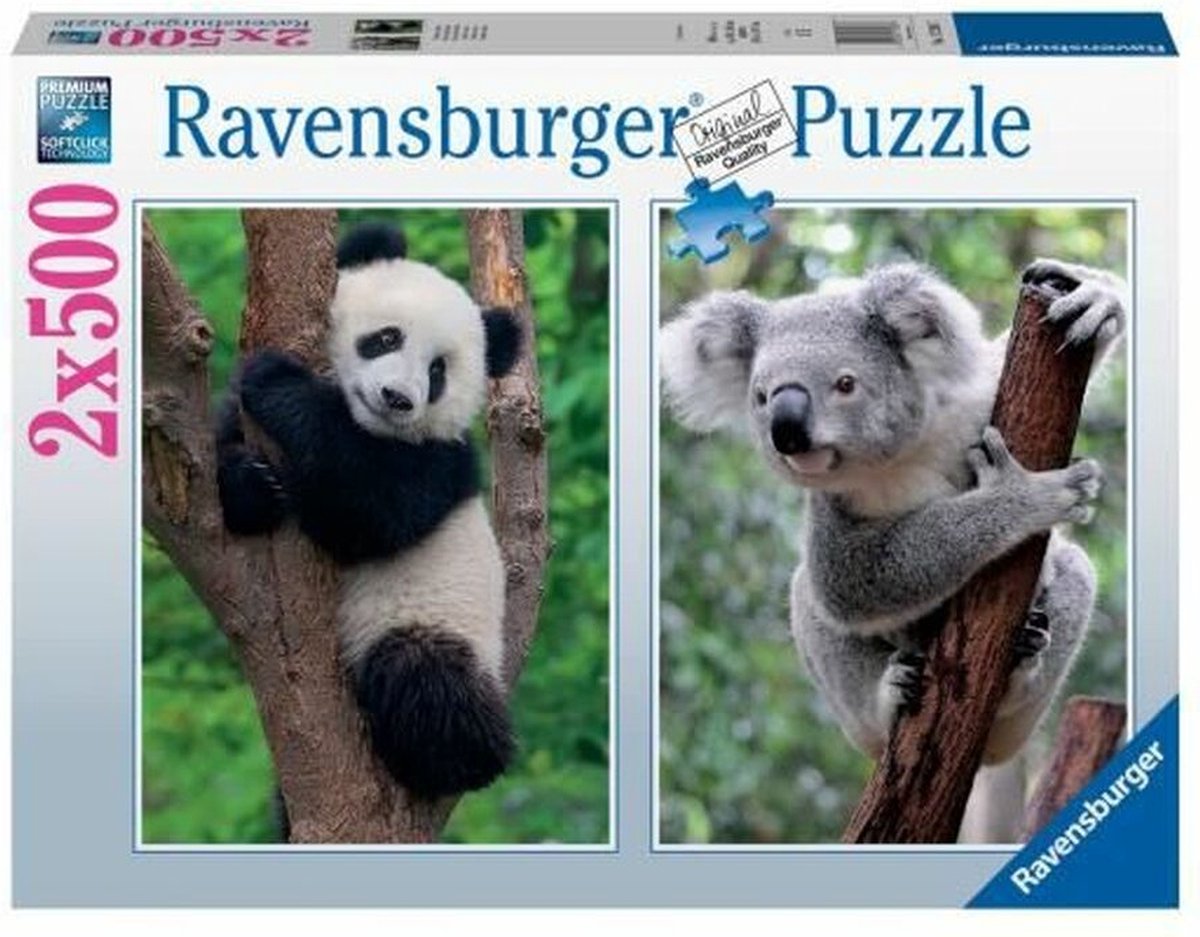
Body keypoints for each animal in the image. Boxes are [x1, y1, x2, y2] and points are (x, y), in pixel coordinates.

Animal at [216, 221, 522, 799]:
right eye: (386, 338)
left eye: (438, 371)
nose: (398, 398)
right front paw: (251, 485)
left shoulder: (438, 465)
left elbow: (367, 510)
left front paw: (277, 381)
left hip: (434, 622)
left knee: (426, 680)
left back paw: (451, 759)